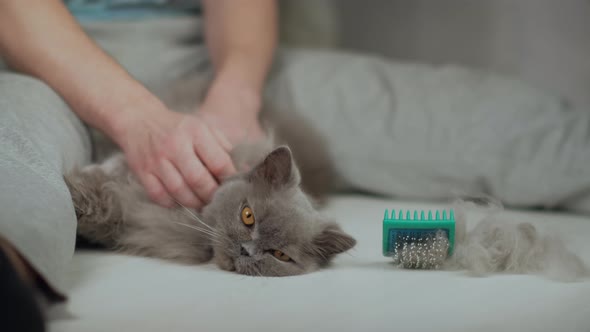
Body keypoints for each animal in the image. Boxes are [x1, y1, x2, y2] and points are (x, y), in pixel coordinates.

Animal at [67, 146, 358, 278]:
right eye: (248, 216)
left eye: (279, 255)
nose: (246, 251)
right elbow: (101, 187)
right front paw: (71, 191)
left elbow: (104, 209)